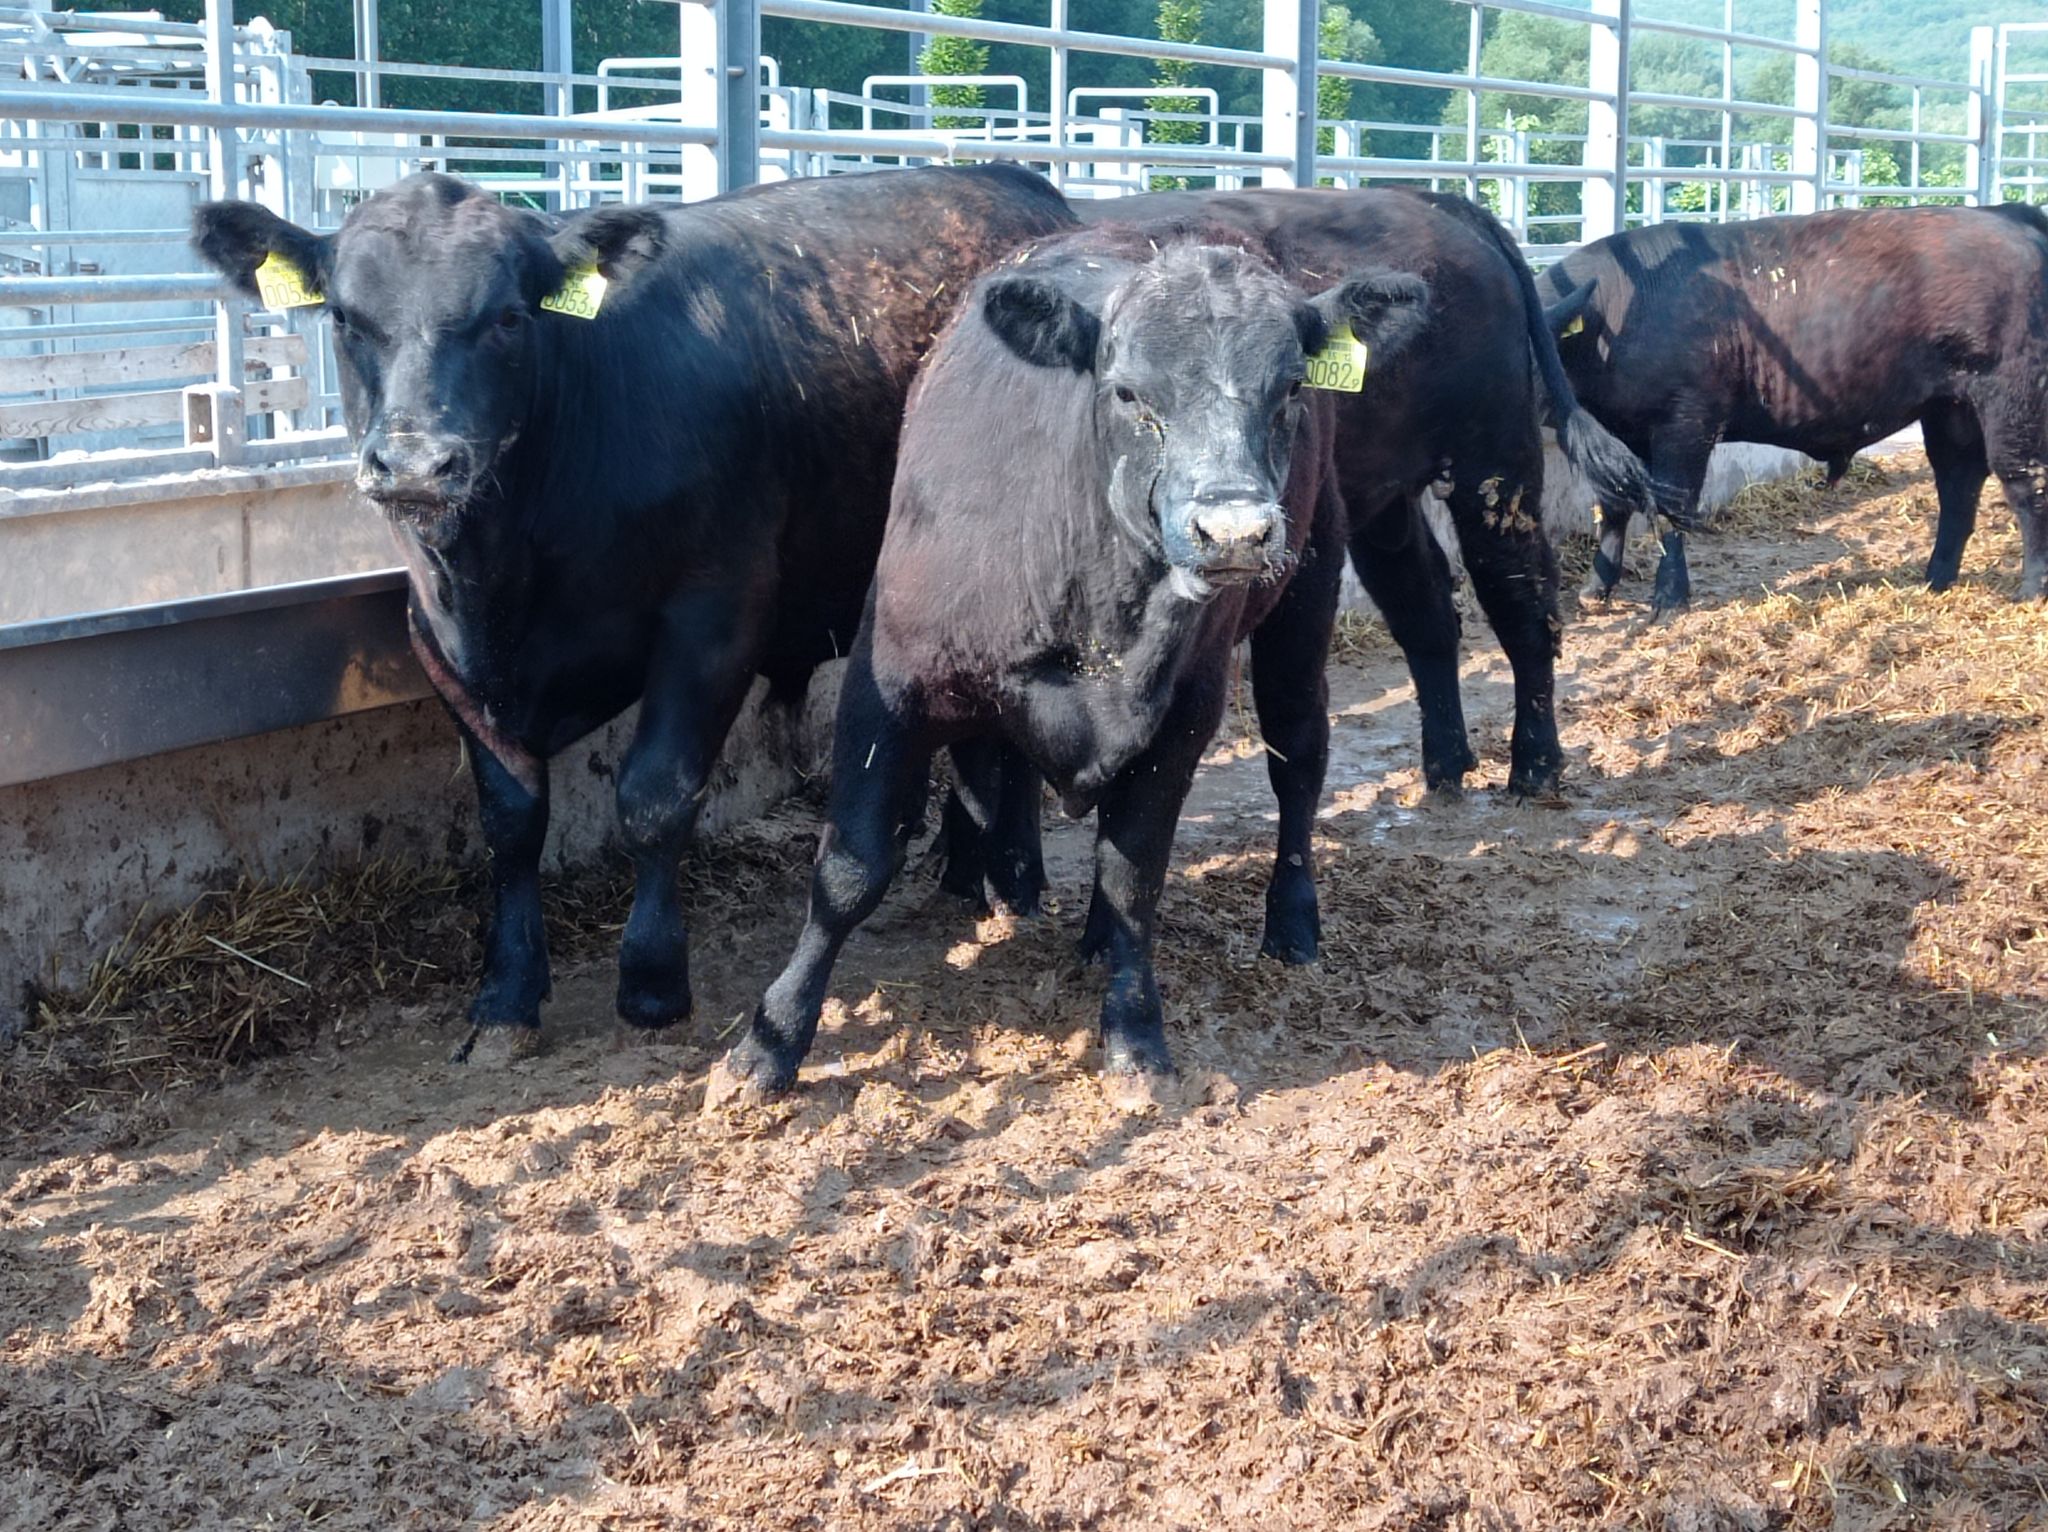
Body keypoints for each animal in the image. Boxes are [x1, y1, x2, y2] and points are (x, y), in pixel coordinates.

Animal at [192, 165, 1075, 1060]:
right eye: (344, 317)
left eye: (509, 316)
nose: (414, 463)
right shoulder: (442, 645)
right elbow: (510, 821)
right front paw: (506, 994)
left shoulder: (712, 619)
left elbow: (655, 798)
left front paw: (652, 980)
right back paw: (963, 874)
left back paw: (1017, 883)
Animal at [712, 222, 1433, 1098]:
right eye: (1128, 393)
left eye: (1290, 386)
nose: (1233, 532)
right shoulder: (889, 686)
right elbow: (850, 868)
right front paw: (770, 1040)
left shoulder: (1183, 715)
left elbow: (1135, 876)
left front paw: (1135, 1032)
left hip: (1309, 581)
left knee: (1297, 757)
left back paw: (1290, 923)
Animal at [1081, 187, 1652, 798]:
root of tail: (1430, 199)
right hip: (1385, 497)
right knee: (1425, 608)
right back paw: (1446, 762)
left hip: (1496, 465)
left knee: (1522, 601)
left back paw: (1534, 766)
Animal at [1538, 203, 2048, 613]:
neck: (1619, 313)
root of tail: (2005, 213)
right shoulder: (1617, 433)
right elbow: (1614, 505)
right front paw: (1596, 589)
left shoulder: (1686, 423)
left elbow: (1670, 510)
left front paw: (1668, 599)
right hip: (1949, 407)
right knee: (1958, 482)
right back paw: (1936, 579)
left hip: (2012, 399)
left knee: (2024, 483)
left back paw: (2031, 588)